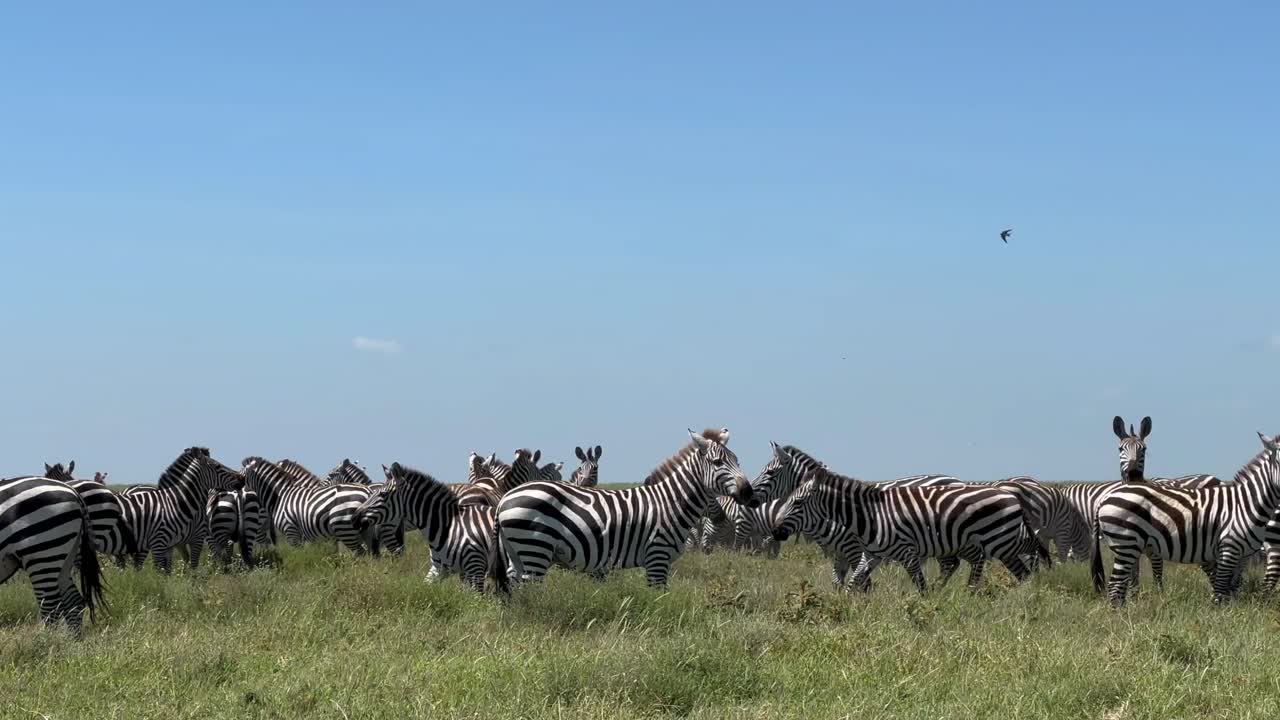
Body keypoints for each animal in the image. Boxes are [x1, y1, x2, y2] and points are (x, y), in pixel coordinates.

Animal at [0, 475, 106, 635]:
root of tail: (73, 492)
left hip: (42, 554)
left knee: (50, 607)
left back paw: (45, 641)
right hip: (64, 556)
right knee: (73, 601)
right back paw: (71, 640)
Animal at [353, 463, 499, 590]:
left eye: (383, 494)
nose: (354, 518)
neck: (447, 526)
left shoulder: (476, 566)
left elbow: (476, 600)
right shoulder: (439, 567)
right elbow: (425, 588)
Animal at [494, 428, 757, 591]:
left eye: (738, 461)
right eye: (718, 462)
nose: (748, 493)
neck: (670, 502)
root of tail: (505, 498)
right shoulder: (657, 556)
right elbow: (658, 600)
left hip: (517, 553)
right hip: (535, 548)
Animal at [772, 465, 1047, 594]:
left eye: (797, 502)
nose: (776, 533)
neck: (871, 516)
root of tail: (1010, 494)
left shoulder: (907, 552)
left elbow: (920, 586)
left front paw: (928, 610)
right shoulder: (872, 555)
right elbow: (853, 582)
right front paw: (844, 609)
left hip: (1000, 539)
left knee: (1032, 549)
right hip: (986, 542)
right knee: (1010, 567)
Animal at [1093, 432, 1280, 606]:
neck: (1246, 502)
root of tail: (1105, 498)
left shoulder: (1242, 556)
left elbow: (1231, 589)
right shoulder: (1228, 548)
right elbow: (1220, 590)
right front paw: (1218, 615)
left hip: (1128, 547)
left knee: (1119, 586)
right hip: (1126, 545)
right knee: (1115, 586)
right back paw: (1120, 616)